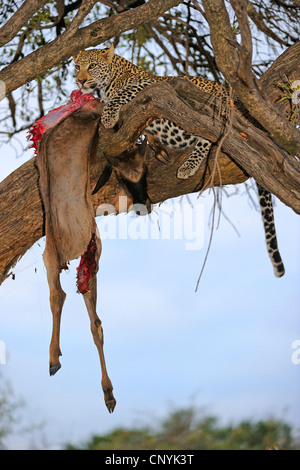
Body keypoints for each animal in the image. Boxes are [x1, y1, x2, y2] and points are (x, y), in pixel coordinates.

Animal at [74, 44, 284, 278]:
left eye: (92, 66)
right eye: (77, 66)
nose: (80, 81)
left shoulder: (149, 86)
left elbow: (122, 95)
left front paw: (109, 114)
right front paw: (153, 144)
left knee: (209, 135)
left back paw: (187, 167)